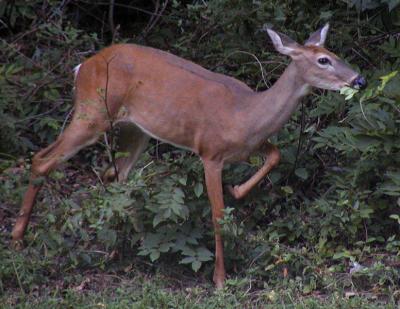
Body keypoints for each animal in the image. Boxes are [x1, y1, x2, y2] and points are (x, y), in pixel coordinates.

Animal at [11, 23, 366, 286]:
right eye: (323, 60)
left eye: (333, 53)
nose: (359, 79)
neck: (247, 114)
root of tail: (82, 66)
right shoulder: (210, 152)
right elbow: (218, 215)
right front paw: (220, 279)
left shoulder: (251, 145)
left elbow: (276, 154)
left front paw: (238, 189)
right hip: (93, 110)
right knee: (43, 159)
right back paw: (18, 238)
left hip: (134, 127)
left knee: (116, 175)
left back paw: (124, 248)